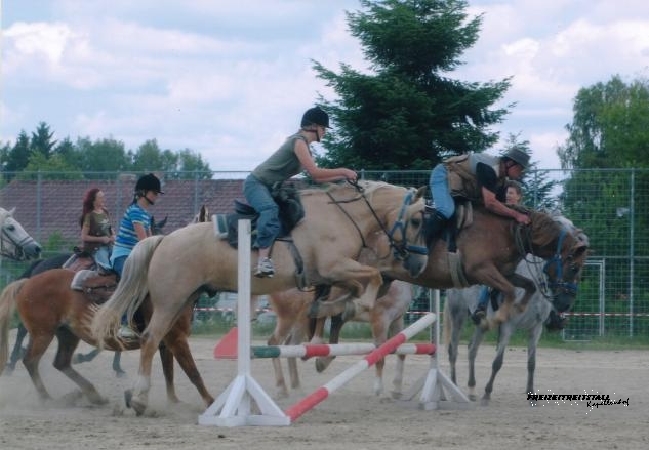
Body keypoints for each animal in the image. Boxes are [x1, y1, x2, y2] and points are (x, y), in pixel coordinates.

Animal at [0, 268, 213, 410]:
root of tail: (27, 282)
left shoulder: (165, 344)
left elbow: (170, 373)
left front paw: (174, 402)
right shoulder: (176, 339)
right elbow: (193, 372)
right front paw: (210, 402)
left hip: (67, 334)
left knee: (61, 362)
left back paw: (93, 395)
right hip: (42, 333)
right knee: (30, 361)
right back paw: (47, 399)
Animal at [88, 179, 428, 414]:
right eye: (416, 221)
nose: (419, 265)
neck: (342, 216)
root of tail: (163, 240)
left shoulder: (333, 274)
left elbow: (349, 294)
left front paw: (331, 320)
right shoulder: (335, 267)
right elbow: (369, 284)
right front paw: (346, 312)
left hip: (182, 302)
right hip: (171, 301)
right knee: (150, 339)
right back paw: (141, 398)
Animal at [442, 256, 556, 408]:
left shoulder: (536, 328)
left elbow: (531, 363)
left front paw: (531, 396)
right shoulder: (508, 326)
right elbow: (498, 362)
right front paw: (487, 395)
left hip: (481, 324)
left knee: (472, 349)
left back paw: (472, 390)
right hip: (457, 315)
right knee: (453, 351)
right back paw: (455, 388)